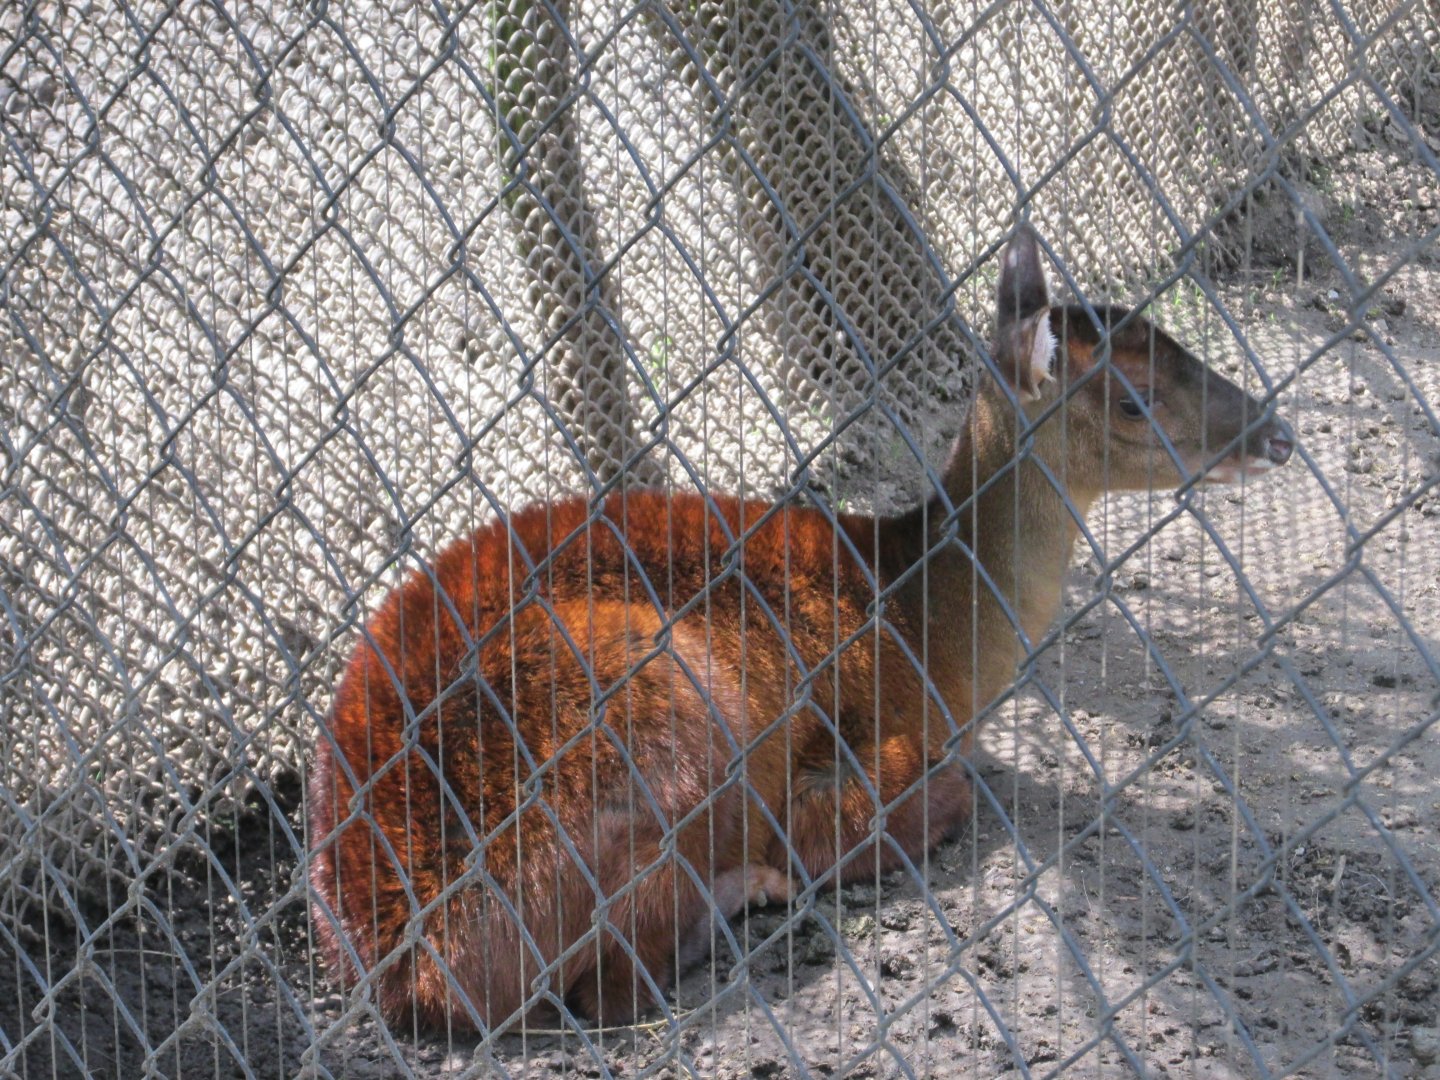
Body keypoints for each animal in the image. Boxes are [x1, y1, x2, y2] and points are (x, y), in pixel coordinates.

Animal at [307, 225, 1294, 1033]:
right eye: (1134, 399)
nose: (1276, 434)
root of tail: (412, 964)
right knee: (619, 983)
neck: (929, 625)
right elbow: (919, 790)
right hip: (670, 709)